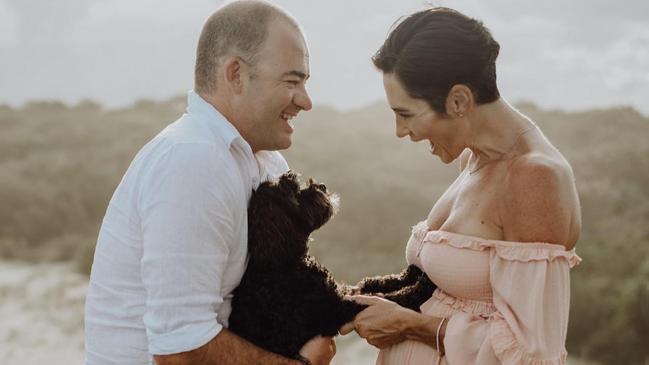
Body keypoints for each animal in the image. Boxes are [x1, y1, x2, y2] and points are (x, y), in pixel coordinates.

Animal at [227, 171, 436, 358]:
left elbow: (372, 283)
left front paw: (413, 272)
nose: (322, 186)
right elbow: (392, 297)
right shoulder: (337, 308)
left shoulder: (341, 291)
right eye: (294, 191)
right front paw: (423, 284)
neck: (283, 264)